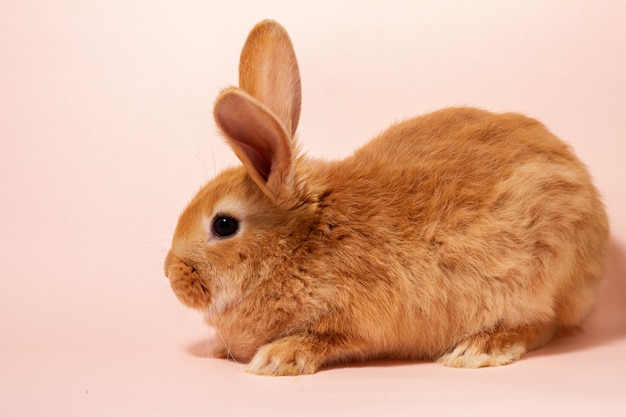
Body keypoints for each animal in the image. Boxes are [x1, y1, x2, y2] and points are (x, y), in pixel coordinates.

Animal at [163, 19, 608, 376]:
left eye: (224, 225)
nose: (169, 274)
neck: (301, 242)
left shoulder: (358, 319)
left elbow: (324, 338)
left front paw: (277, 358)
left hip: (541, 274)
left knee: (542, 324)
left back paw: (477, 349)